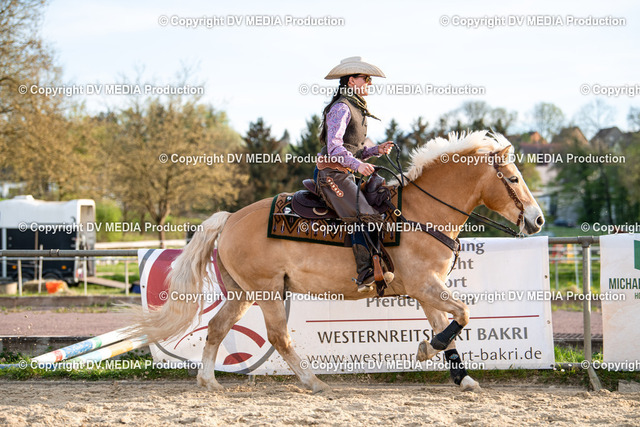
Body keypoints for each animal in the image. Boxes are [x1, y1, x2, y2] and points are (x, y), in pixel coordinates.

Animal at [133, 130, 545, 393]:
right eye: (513, 178)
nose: (538, 220)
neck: (418, 214)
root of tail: (230, 217)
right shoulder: (425, 284)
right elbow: (463, 314)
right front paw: (426, 349)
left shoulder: (427, 291)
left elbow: (449, 328)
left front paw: (462, 377)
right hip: (267, 292)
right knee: (278, 336)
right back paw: (313, 382)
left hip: (242, 293)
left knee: (217, 328)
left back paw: (209, 381)